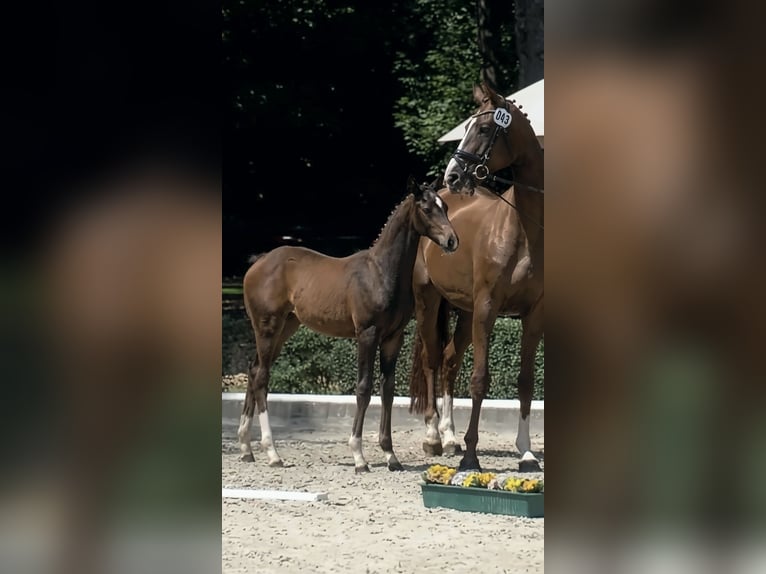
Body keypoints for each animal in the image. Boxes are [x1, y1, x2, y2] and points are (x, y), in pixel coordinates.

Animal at [238, 176, 458, 473]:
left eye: (444, 206)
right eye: (426, 209)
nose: (451, 240)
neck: (381, 273)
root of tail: (258, 262)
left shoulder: (393, 337)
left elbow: (387, 389)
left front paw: (390, 455)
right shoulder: (367, 334)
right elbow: (363, 388)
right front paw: (359, 456)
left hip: (286, 328)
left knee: (253, 370)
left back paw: (245, 448)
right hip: (267, 327)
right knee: (261, 376)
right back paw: (272, 452)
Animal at [409, 82, 544, 472]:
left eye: (484, 128)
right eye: (467, 126)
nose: (452, 175)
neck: (525, 230)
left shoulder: (534, 314)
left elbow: (525, 382)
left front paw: (527, 453)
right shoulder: (488, 307)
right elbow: (480, 380)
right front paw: (471, 457)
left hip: (466, 314)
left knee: (450, 360)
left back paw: (450, 437)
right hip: (429, 303)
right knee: (433, 361)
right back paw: (433, 437)